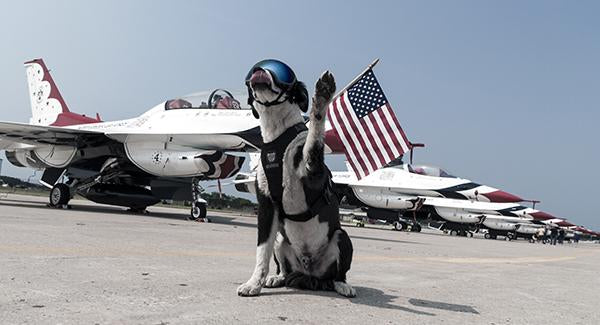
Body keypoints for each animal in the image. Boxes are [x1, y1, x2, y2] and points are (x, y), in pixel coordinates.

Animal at [236, 59, 356, 298]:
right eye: (254, 69)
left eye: (282, 71)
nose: (259, 70)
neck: (276, 135)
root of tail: (310, 272)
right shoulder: (266, 207)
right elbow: (261, 252)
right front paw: (254, 283)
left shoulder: (313, 171)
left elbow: (313, 138)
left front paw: (322, 98)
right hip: (281, 239)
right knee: (284, 267)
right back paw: (277, 278)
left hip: (342, 237)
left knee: (338, 273)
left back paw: (342, 285)